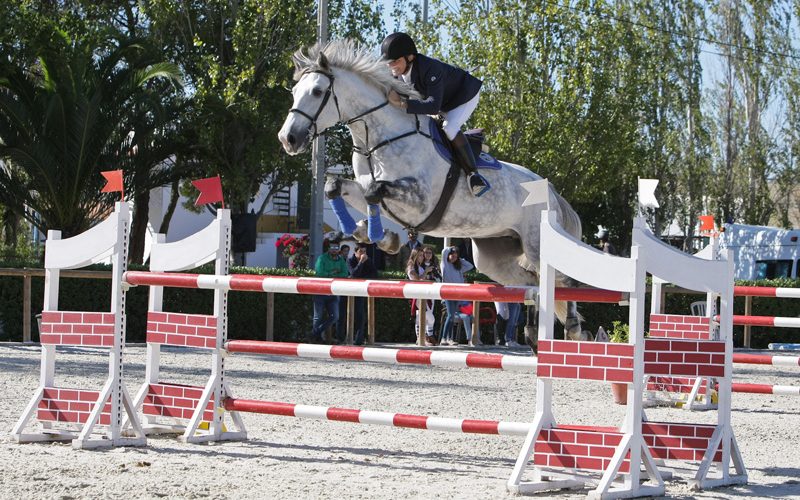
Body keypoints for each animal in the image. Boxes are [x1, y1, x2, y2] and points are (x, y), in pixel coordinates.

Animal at [278, 41, 592, 342]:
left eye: (318, 91)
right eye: (294, 91)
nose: (288, 139)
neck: (378, 139)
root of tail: (551, 191)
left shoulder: (420, 201)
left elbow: (374, 192)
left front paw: (380, 236)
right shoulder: (367, 187)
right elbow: (336, 187)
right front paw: (371, 234)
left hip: (536, 244)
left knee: (562, 281)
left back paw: (574, 328)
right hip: (493, 255)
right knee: (530, 283)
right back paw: (532, 332)